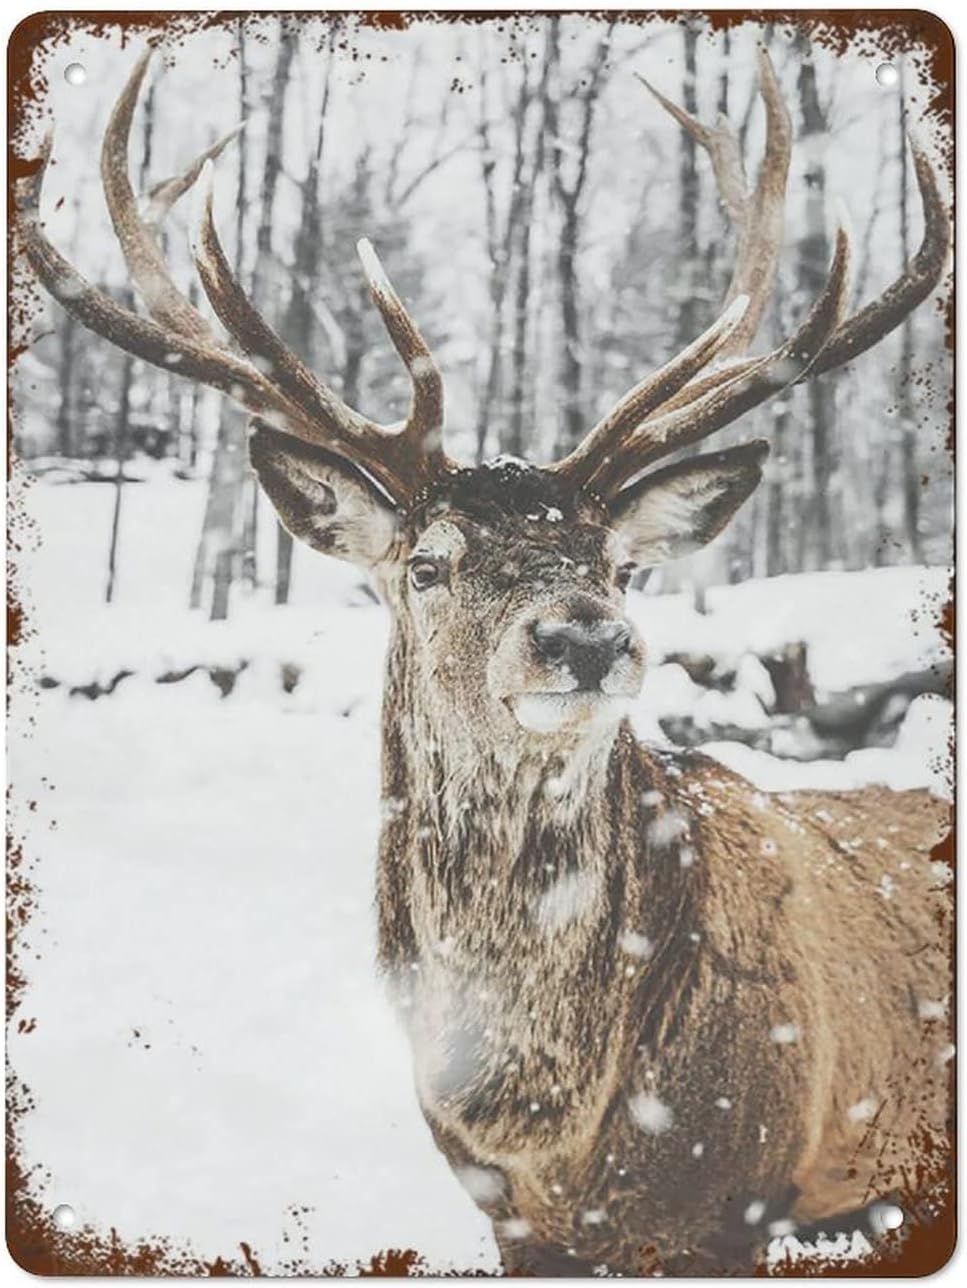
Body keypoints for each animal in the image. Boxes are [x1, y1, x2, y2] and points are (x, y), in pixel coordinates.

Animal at [18, 43, 952, 1276]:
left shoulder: (742, 1199)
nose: (584, 635)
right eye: (426, 564)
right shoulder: (506, 1216)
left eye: (620, 563)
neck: (548, 1127)